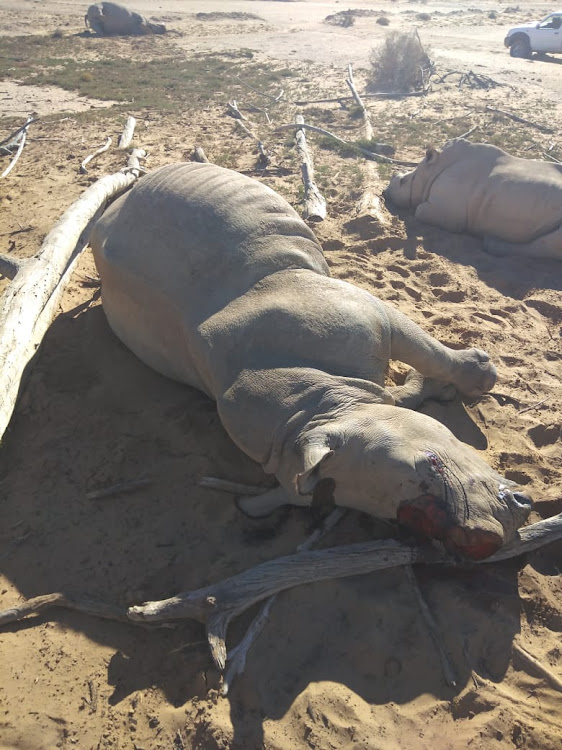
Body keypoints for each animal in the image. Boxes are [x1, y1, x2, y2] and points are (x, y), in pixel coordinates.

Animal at [89, 166, 532, 564]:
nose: (481, 541)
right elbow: (411, 374)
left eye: (435, 462)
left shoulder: (366, 316)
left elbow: (422, 350)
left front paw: (471, 375)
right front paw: (455, 382)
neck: (318, 405)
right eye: (398, 521)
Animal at [384, 138, 562, 262]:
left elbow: (419, 211)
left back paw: (490, 243)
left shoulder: (447, 213)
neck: (432, 171)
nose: (385, 191)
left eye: (403, 182)